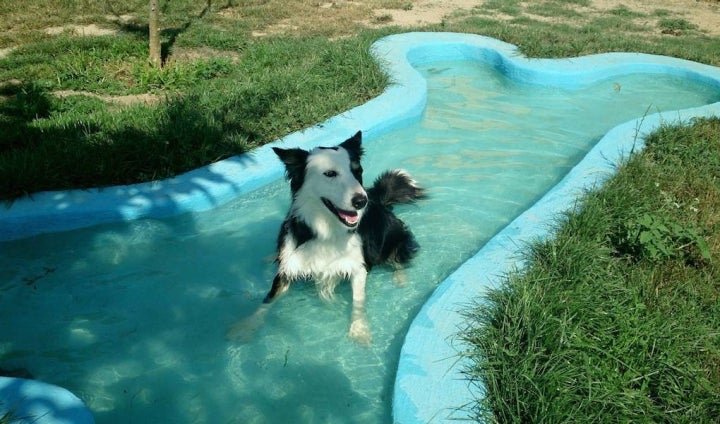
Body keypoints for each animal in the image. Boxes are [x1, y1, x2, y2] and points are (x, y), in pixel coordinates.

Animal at [228, 130, 424, 344]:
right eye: (330, 174)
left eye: (358, 171)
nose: (362, 201)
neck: (326, 228)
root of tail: (377, 198)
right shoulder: (288, 264)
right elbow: (269, 298)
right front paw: (248, 325)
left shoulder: (358, 266)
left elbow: (358, 301)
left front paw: (360, 329)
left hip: (392, 235)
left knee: (397, 256)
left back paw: (400, 277)